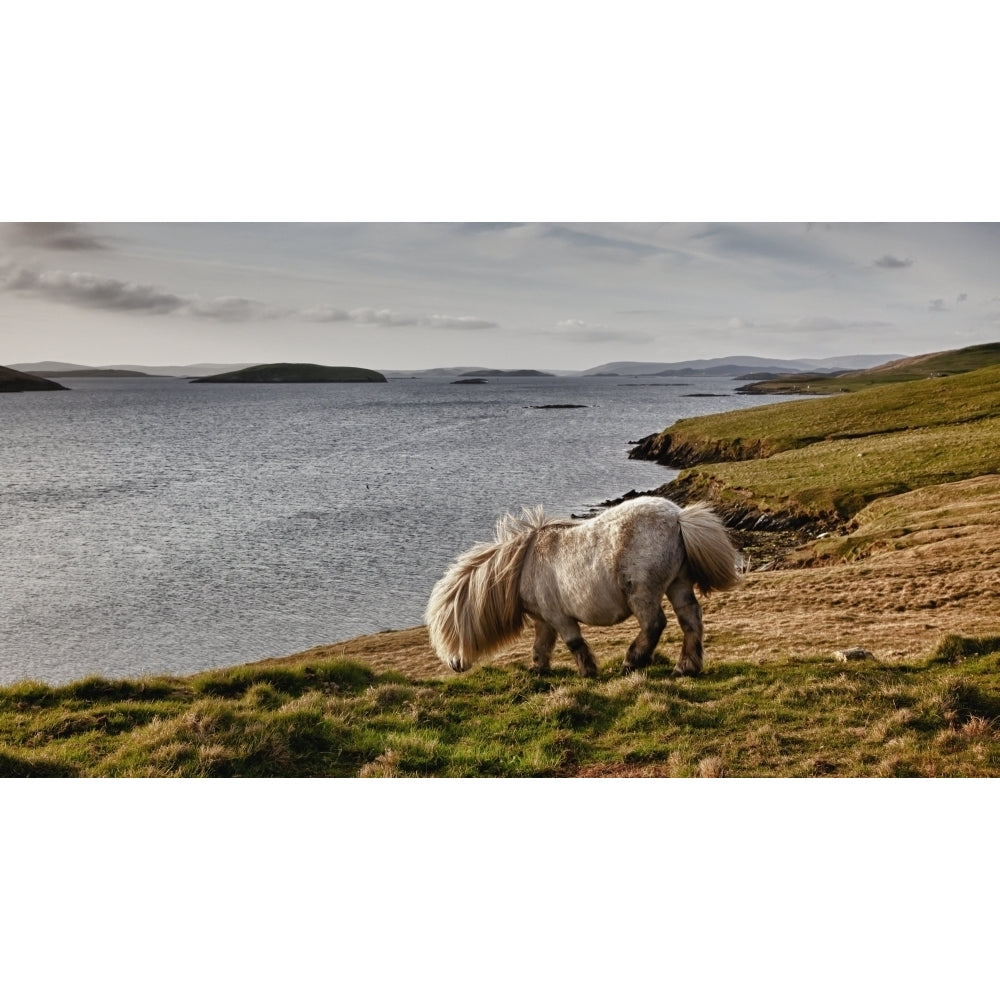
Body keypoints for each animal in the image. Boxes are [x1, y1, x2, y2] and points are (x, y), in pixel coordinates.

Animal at [424, 498, 744, 680]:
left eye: (448, 631)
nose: (453, 665)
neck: (523, 565)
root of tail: (678, 517)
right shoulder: (544, 620)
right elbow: (541, 646)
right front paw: (538, 671)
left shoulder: (559, 617)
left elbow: (574, 643)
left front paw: (588, 672)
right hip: (678, 584)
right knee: (690, 620)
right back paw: (686, 667)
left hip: (642, 592)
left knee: (655, 624)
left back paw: (632, 662)